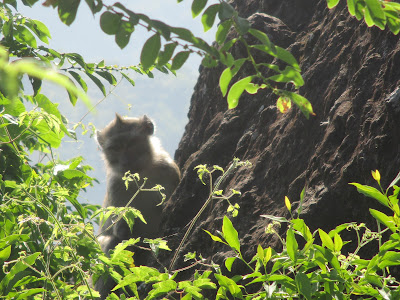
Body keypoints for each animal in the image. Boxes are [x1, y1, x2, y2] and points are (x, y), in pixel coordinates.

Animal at [94, 114, 180, 298]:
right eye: (115, 148)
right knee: (112, 244)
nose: (125, 161)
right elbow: (119, 232)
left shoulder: (169, 169)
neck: (141, 173)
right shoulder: (115, 185)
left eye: (131, 143)